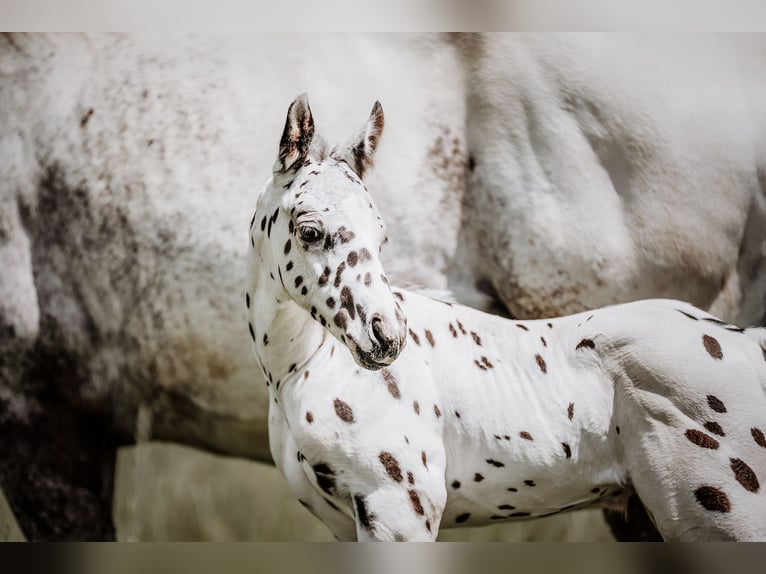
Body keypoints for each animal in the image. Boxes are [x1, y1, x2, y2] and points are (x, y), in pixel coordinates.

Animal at [247, 94, 766, 541]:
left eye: (381, 235)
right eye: (310, 231)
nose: (387, 337)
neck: (305, 368)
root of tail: (749, 343)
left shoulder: (397, 511)